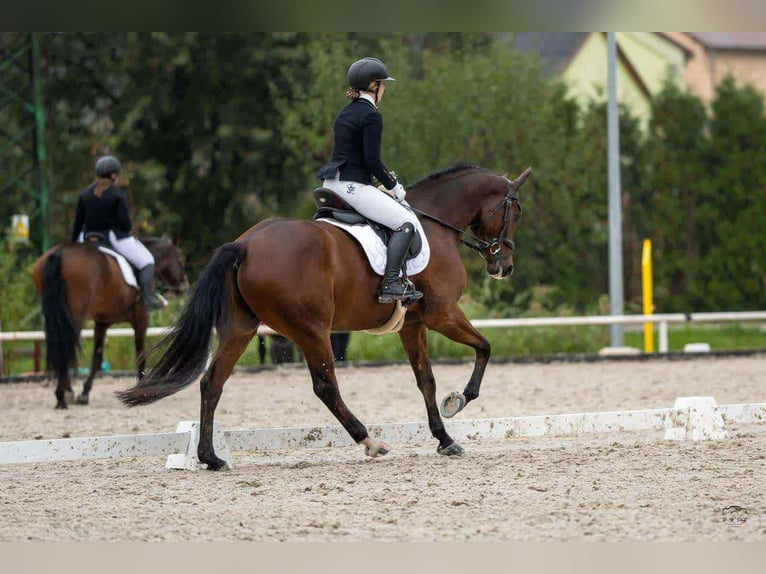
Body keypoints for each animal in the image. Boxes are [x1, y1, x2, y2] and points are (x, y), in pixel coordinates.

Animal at [31, 235, 190, 410]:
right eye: (180, 259)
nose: (185, 286)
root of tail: (59, 253)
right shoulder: (141, 319)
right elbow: (140, 353)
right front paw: (142, 391)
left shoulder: (102, 322)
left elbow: (97, 359)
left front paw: (85, 393)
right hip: (75, 315)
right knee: (66, 349)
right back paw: (63, 395)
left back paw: (65, 393)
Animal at [118, 164, 528, 470]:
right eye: (517, 212)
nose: (504, 267)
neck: (437, 224)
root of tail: (245, 244)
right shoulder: (443, 313)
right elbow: (484, 348)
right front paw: (459, 400)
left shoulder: (412, 325)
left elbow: (425, 380)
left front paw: (445, 439)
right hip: (311, 330)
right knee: (326, 387)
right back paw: (370, 441)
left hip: (240, 329)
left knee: (212, 382)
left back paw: (210, 458)